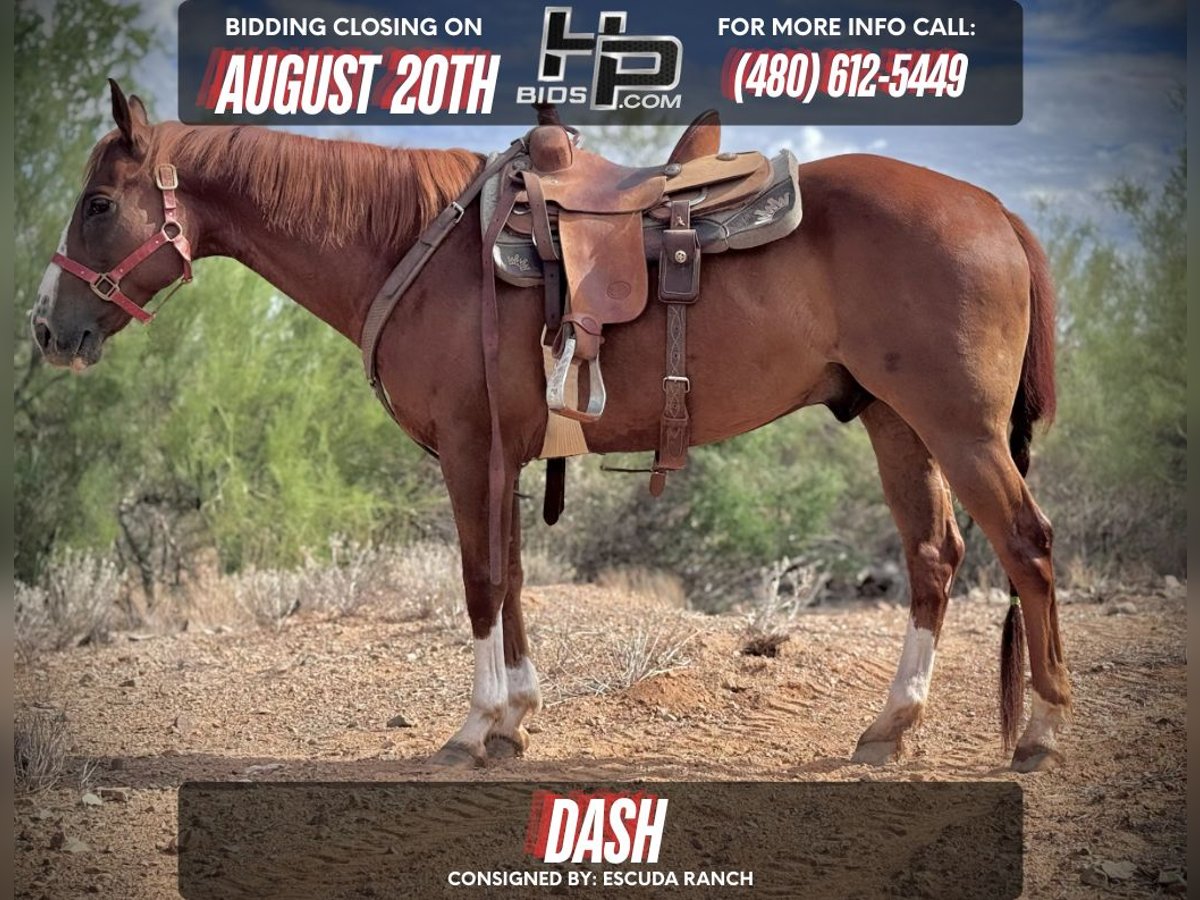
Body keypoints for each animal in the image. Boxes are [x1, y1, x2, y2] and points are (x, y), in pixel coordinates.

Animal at [31, 81, 1070, 772]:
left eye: (97, 203)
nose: (48, 327)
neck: (413, 244)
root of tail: (995, 211)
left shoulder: (467, 450)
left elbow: (481, 580)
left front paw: (471, 727)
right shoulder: (503, 452)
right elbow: (517, 575)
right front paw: (515, 719)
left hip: (961, 429)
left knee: (1026, 545)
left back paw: (1042, 732)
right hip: (898, 425)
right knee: (936, 558)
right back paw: (890, 728)